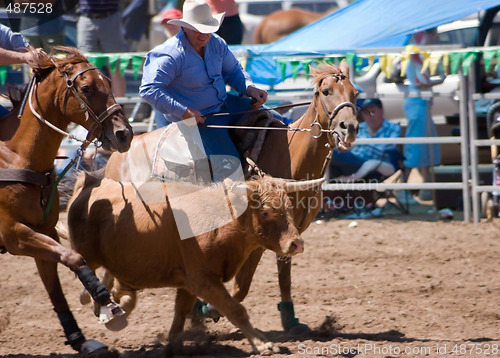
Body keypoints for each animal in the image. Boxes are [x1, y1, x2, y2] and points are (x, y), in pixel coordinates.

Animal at [0, 46, 133, 352]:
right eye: (86, 88)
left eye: (109, 83)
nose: (124, 134)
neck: (14, 157)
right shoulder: (13, 234)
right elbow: (74, 256)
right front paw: (105, 301)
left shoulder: (43, 231)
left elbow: (57, 286)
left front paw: (79, 340)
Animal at [103, 59, 358, 336]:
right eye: (326, 91)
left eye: (355, 93)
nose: (349, 128)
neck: (291, 156)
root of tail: (117, 156)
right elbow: (242, 285)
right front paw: (208, 308)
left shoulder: (290, 230)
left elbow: (284, 278)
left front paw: (290, 320)